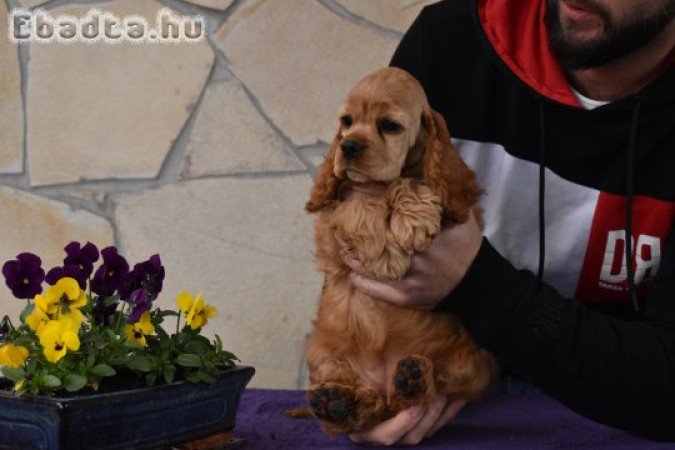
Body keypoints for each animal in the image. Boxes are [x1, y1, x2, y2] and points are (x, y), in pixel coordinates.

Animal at [304, 67, 496, 436]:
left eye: (390, 126)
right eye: (347, 121)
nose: (348, 146)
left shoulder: (457, 207)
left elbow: (411, 182)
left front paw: (413, 219)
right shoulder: (332, 219)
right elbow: (362, 200)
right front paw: (386, 255)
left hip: (474, 362)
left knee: (415, 395)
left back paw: (411, 380)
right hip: (321, 351)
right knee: (372, 406)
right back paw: (339, 404)